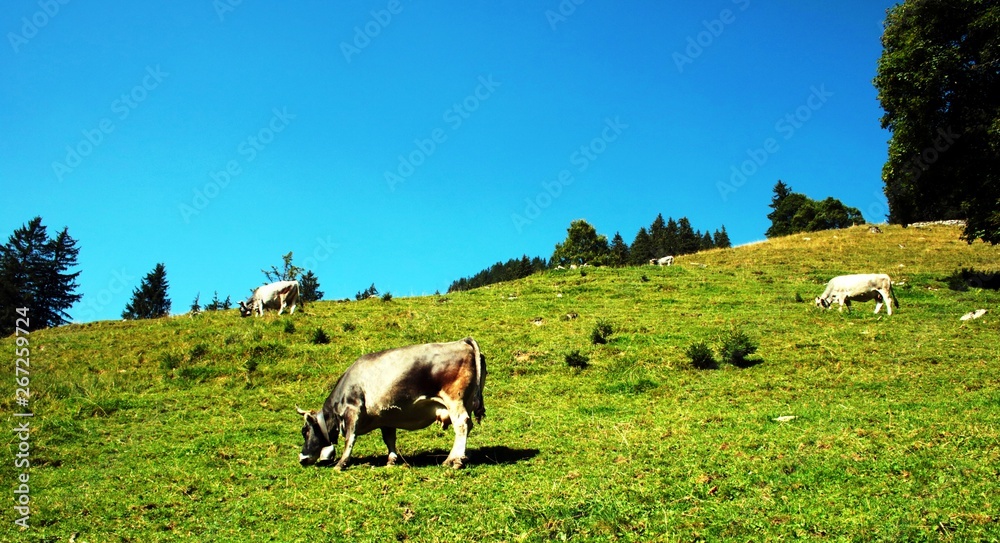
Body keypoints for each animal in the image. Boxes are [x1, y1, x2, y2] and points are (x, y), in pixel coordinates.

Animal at [297, 337, 487, 470]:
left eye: (305, 431)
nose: (302, 458)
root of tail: (462, 341)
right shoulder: (385, 418)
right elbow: (389, 439)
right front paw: (391, 460)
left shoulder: (352, 410)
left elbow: (349, 439)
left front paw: (341, 464)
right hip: (467, 402)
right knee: (467, 426)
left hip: (455, 400)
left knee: (461, 425)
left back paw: (454, 460)